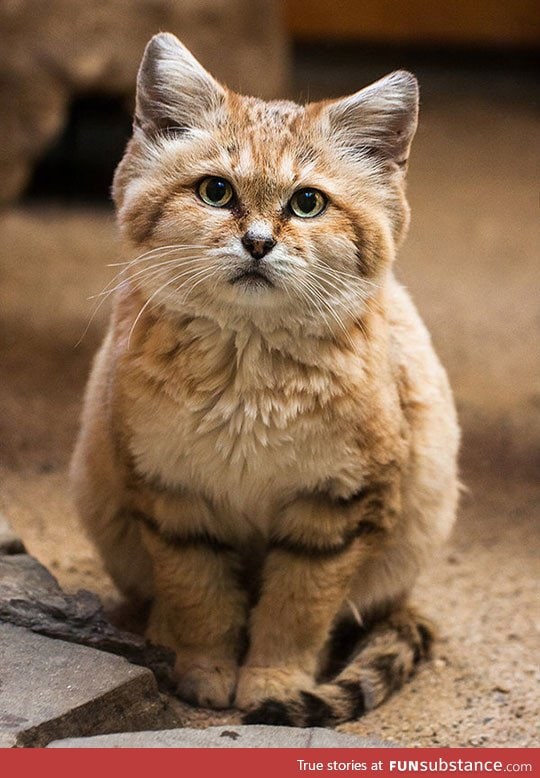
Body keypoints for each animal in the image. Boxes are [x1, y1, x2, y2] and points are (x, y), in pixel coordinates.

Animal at [70, 33, 460, 724]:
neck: (246, 370)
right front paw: (204, 668)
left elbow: (297, 610)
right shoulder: (172, 497)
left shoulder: (337, 510)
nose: (256, 243)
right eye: (215, 192)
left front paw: (274, 682)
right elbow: (199, 597)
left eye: (307, 202)